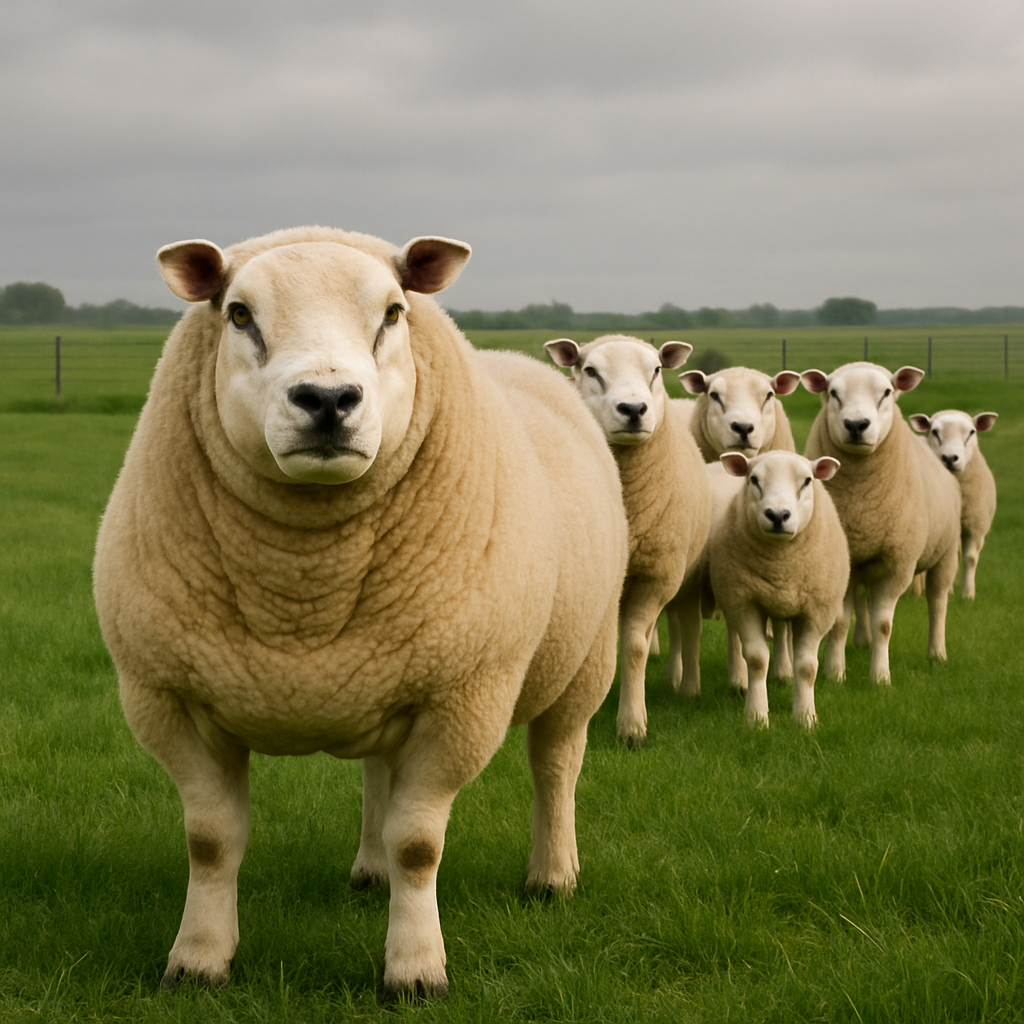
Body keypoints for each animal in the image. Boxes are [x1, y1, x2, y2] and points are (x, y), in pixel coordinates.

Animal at [92, 226, 629, 999]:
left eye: (394, 313)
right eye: (239, 314)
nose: (326, 398)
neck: (304, 598)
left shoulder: (461, 699)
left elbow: (419, 844)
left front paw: (415, 971)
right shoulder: (168, 698)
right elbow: (210, 840)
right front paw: (197, 960)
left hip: (585, 658)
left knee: (556, 765)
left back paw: (552, 877)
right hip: (381, 667)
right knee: (381, 771)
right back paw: (370, 872)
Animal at [545, 334, 710, 746]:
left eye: (656, 370)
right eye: (590, 370)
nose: (633, 409)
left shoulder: (657, 576)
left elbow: (636, 646)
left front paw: (632, 725)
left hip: (687, 575)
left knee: (687, 624)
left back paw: (686, 686)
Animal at [708, 451, 849, 726]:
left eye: (807, 480)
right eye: (754, 479)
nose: (777, 515)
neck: (781, 568)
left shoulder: (817, 612)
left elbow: (807, 667)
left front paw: (805, 718)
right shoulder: (744, 603)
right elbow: (757, 659)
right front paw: (756, 716)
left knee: (784, 631)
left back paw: (785, 673)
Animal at [802, 362, 961, 684]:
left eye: (887, 392)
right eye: (833, 393)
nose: (856, 424)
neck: (861, 503)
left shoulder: (898, 565)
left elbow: (883, 625)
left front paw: (880, 677)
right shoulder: (845, 563)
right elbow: (840, 622)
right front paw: (835, 674)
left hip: (947, 553)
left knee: (938, 602)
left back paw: (937, 653)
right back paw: (862, 642)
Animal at [909, 410, 998, 599]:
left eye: (972, 432)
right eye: (934, 432)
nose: (950, 458)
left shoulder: (976, 526)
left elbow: (970, 559)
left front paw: (968, 595)